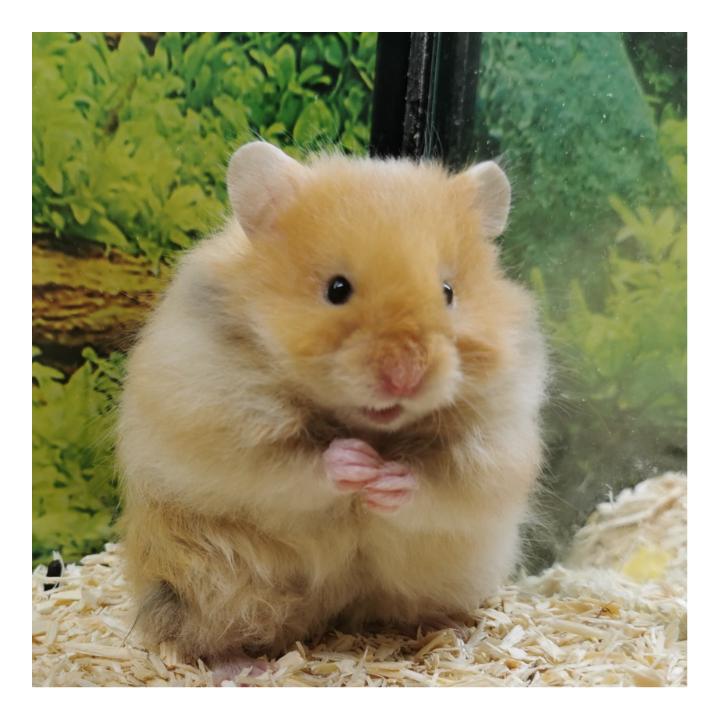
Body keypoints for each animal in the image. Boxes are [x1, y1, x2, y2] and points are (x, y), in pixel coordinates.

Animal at [117, 141, 547, 673]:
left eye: (449, 292)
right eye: (336, 289)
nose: (405, 373)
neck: (364, 423)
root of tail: (332, 615)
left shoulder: (497, 445)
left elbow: (440, 485)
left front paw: (386, 479)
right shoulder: (219, 423)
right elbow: (294, 467)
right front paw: (358, 465)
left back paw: (450, 631)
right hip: (206, 581)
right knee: (205, 635)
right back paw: (241, 668)